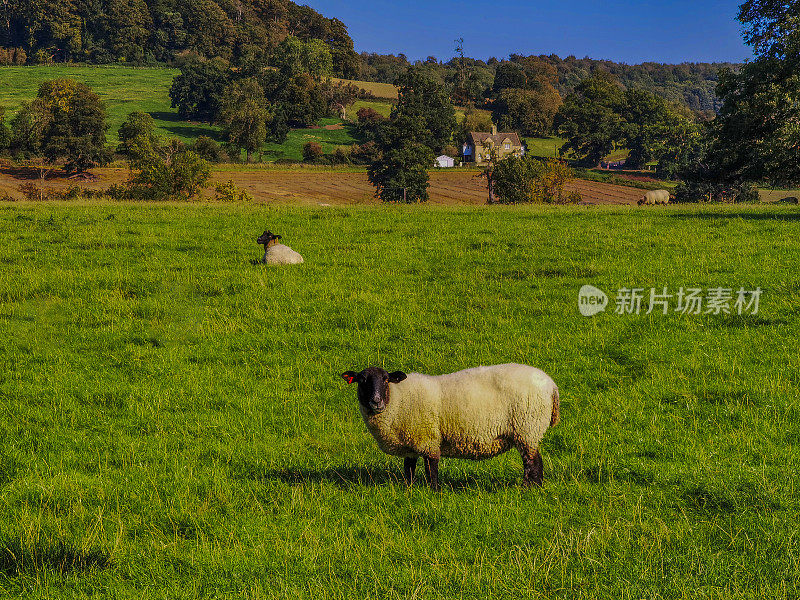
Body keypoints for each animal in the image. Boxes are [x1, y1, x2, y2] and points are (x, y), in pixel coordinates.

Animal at [340, 364, 560, 490]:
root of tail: (551, 385)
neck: (398, 398)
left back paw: (528, 489)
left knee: (533, 463)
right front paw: (408, 490)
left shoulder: (428, 439)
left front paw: (434, 492)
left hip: (527, 428)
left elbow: (431, 469)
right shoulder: (411, 443)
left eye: (386, 379)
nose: (376, 402)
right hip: (528, 431)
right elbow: (409, 468)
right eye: (361, 380)